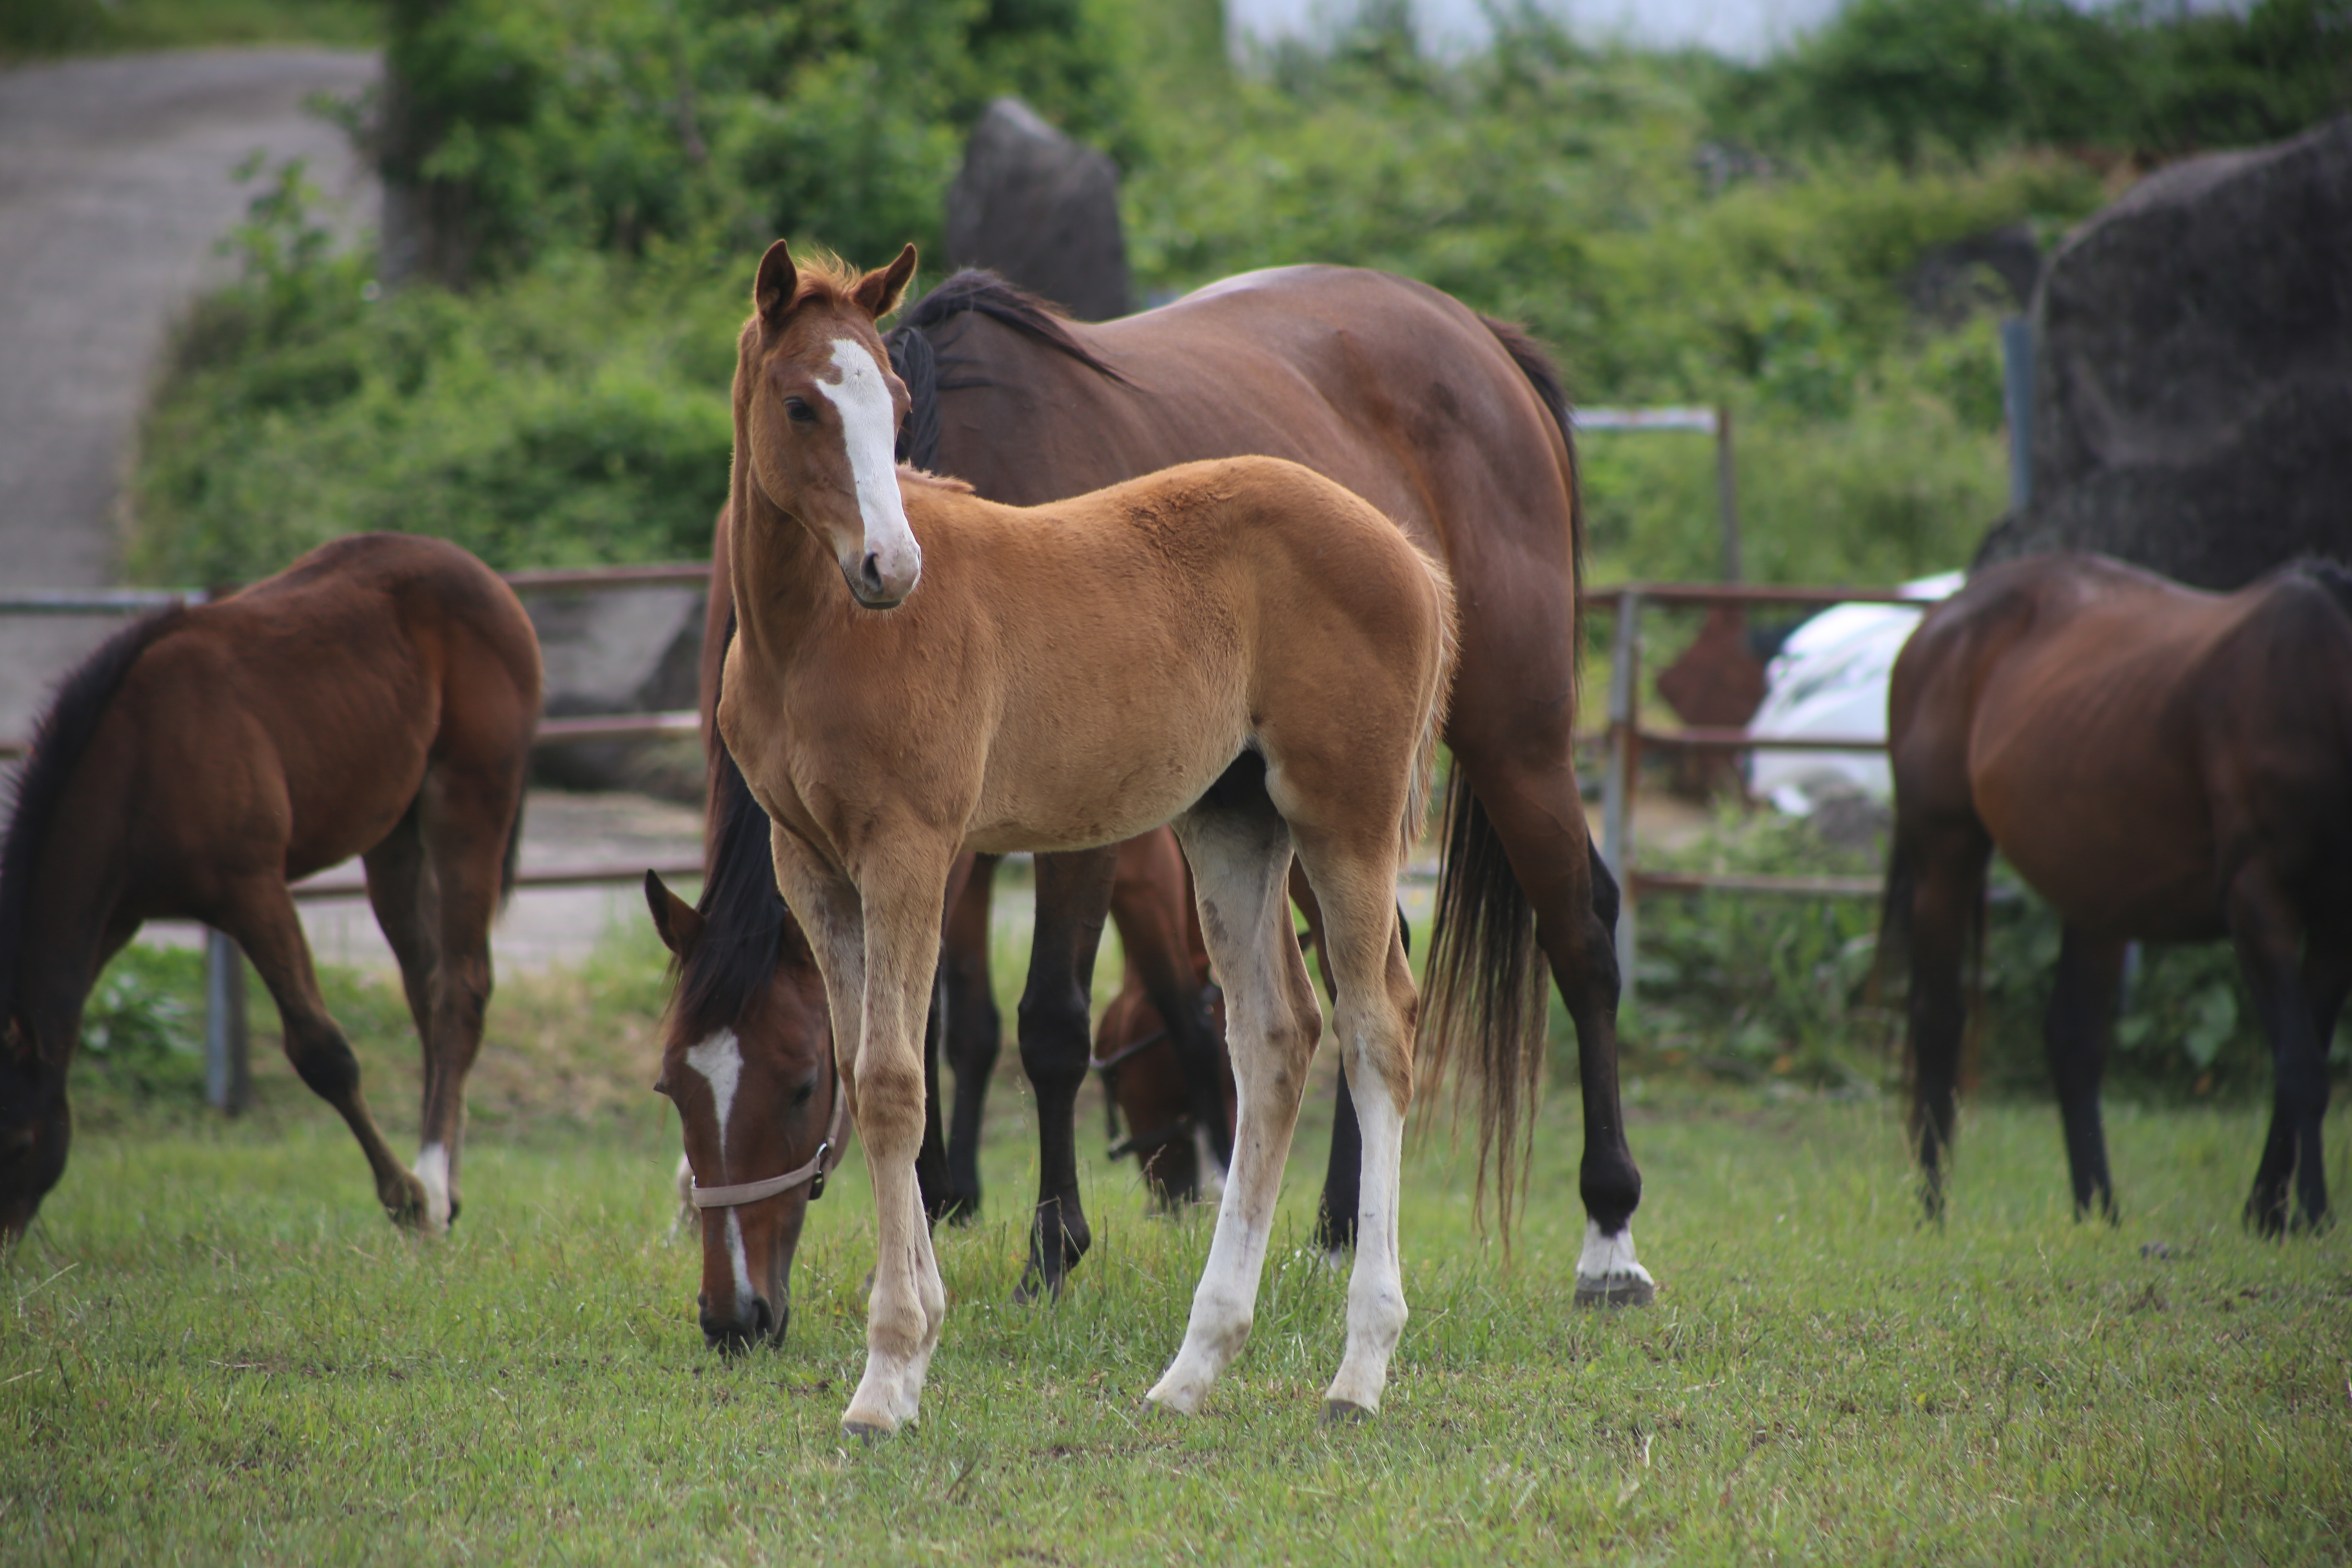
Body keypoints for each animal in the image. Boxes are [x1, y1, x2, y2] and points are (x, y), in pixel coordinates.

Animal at [0, 533, 539, 1241]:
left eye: (19, 1144)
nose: (3, 1242)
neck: (137, 761)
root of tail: (484, 576)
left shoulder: (251, 889)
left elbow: (322, 1051)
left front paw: (406, 1200)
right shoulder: (114, 914)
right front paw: (418, 1196)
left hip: (470, 800)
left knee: (461, 989)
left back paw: (434, 1184)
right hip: (393, 834)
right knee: (426, 990)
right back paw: (446, 1183)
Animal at [719, 240, 1449, 1439]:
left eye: (897, 405)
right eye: (800, 405)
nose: (891, 567)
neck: (815, 635)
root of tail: (1405, 550)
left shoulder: (911, 848)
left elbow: (893, 1083)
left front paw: (887, 1373)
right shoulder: (810, 863)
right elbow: (874, 1076)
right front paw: (916, 1341)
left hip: (1345, 817)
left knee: (1376, 1026)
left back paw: (1360, 1367)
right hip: (1233, 822)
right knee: (1276, 1036)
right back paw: (1194, 1365)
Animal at [1882, 557, 2352, 1232]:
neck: (2318, 686)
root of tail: (1937, 622)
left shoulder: (2338, 917)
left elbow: (2304, 1058)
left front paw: (2267, 1215)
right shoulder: (2256, 895)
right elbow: (2302, 1068)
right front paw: (2310, 1216)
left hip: (2098, 885)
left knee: (2073, 1039)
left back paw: (2098, 1211)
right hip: (1945, 851)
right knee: (1939, 1023)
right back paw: (1933, 1208)